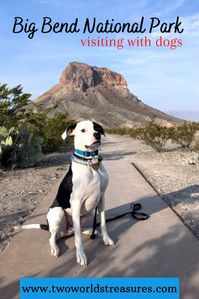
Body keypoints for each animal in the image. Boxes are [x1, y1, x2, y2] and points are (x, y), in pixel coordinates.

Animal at [16, 120, 114, 268]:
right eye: (83, 130)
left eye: (96, 128)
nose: (97, 135)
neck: (90, 162)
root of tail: (64, 231)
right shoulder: (76, 202)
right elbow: (78, 238)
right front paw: (81, 256)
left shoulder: (101, 198)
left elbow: (102, 222)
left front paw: (106, 239)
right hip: (58, 212)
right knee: (53, 237)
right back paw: (55, 248)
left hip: (87, 213)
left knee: (75, 230)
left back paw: (87, 230)